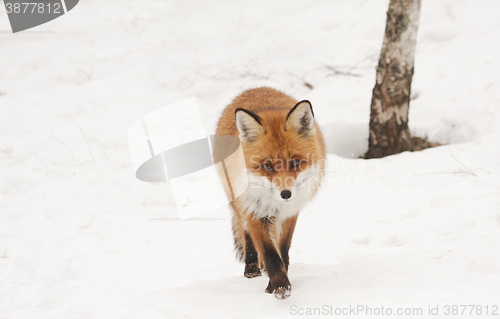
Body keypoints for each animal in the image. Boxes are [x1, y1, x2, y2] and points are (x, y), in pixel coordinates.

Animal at [214, 87, 324, 300]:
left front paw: (280, 279)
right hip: (238, 202)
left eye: (295, 163)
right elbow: (269, 253)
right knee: (247, 236)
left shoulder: (291, 213)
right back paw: (251, 269)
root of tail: (255, 88)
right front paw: (280, 285)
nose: (286, 194)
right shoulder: (254, 210)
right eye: (267, 166)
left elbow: (283, 249)